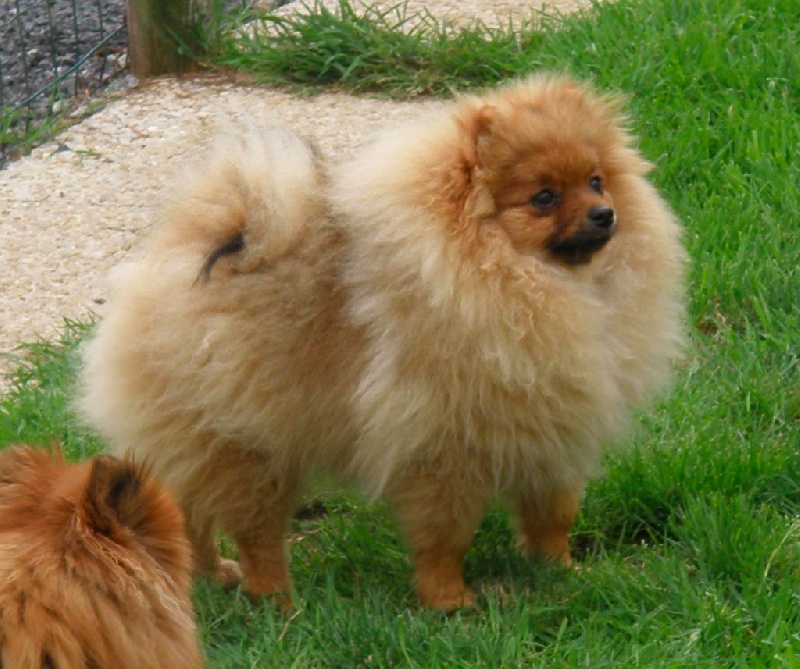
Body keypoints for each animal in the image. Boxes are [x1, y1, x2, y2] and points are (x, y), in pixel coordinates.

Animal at [78, 74, 684, 612]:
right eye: (544, 197)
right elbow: (445, 537)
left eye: (597, 182)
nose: (605, 214)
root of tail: (187, 250)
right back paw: (276, 602)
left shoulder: (551, 431)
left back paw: (204, 575)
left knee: (187, 508)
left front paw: (561, 573)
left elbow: (552, 516)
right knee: (254, 532)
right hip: (249, 446)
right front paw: (449, 602)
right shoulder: (443, 449)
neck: (533, 283)